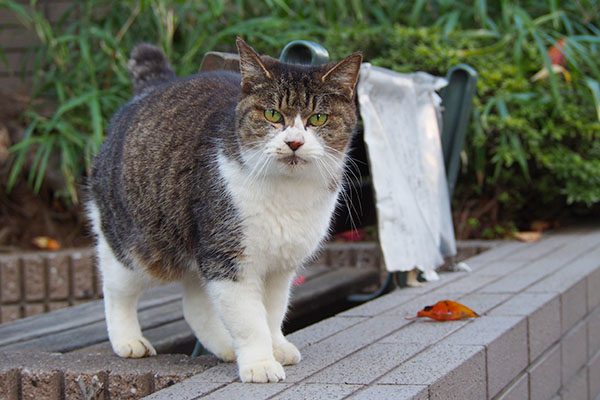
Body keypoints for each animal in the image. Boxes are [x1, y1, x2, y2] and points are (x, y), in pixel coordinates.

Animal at [87, 38, 360, 384]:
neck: (288, 191)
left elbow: (272, 313)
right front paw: (260, 363)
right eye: (272, 114)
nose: (295, 142)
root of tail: (152, 89)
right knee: (115, 288)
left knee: (193, 304)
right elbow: (250, 320)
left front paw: (276, 347)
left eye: (318, 119)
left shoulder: (280, 266)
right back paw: (128, 340)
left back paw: (226, 347)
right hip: (139, 246)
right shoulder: (229, 258)